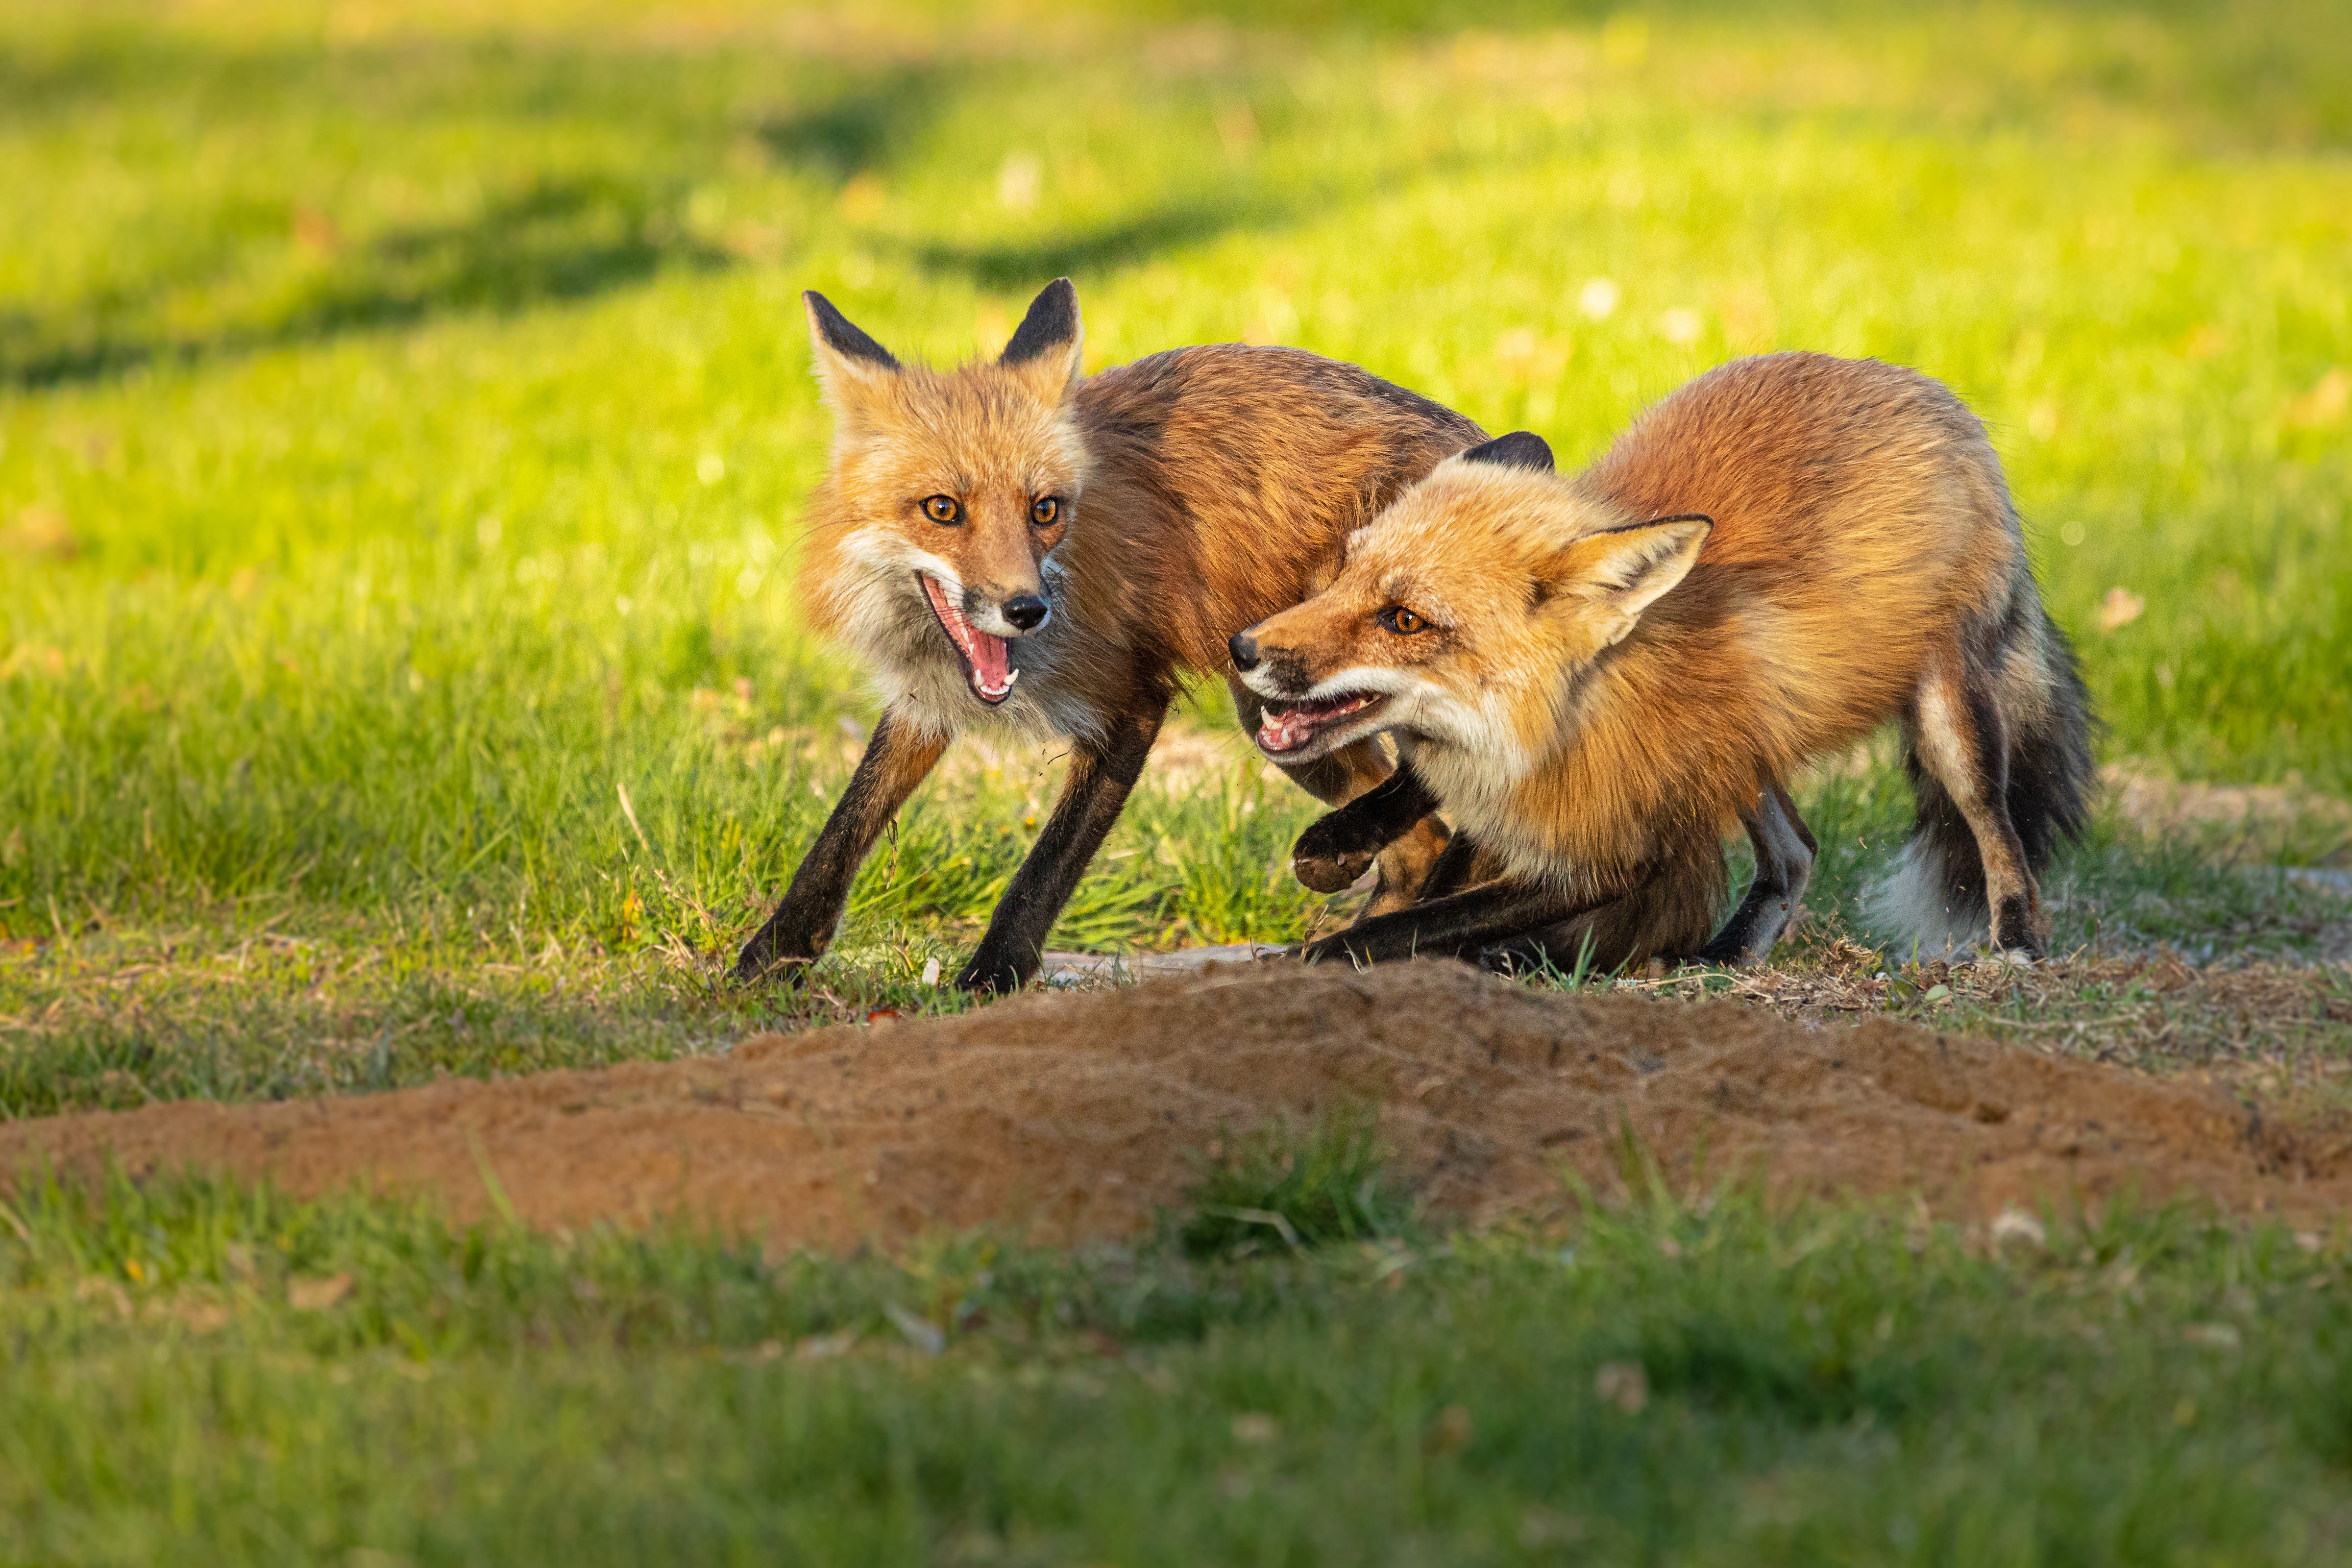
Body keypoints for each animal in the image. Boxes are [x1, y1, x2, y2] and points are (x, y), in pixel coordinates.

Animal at [729, 282, 1486, 992]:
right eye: (942, 510)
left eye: (1044, 510)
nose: (1026, 609)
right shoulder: (930, 696)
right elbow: (844, 827)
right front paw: (773, 957)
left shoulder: (1131, 700)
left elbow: (1046, 870)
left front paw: (993, 977)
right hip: (1280, 717)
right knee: (1424, 843)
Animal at [1232, 350, 2098, 973]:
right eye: (1344, 573)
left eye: (1404, 620)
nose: (1242, 649)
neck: (1564, 719)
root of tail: (1918, 381)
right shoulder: (1516, 799)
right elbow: (1426, 846)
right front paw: (1340, 848)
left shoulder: (1610, 855)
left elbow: (1414, 922)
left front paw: (1317, 959)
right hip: (1741, 747)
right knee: (1797, 853)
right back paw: (1726, 955)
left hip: (1948, 717)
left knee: (1995, 829)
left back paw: (2017, 942)